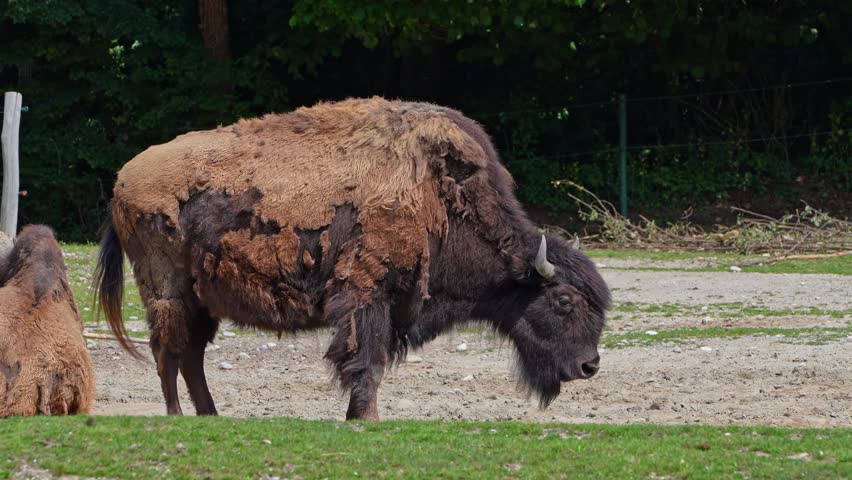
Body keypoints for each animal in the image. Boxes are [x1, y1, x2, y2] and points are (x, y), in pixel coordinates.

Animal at [95, 97, 610, 420]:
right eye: (564, 302)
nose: (590, 366)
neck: (439, 200)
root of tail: (122, 179)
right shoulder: (367, 296)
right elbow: (367, 362)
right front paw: (367, 418)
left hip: (202, 299)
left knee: (191, 355)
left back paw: (210, 415)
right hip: (166, 290)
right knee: (168, 352)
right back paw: (177, 415)